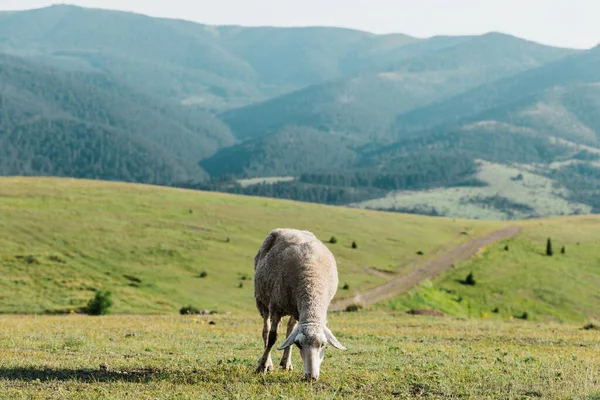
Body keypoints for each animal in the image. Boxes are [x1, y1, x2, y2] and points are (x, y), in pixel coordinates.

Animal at [253, 228, 346, 382]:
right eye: (298, 344)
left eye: (323, 344)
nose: (310, 377)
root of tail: (289, 229)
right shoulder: (276, 307)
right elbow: (273, 337)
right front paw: (263, 366)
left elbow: (289, 335)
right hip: (263, 300)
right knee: (266, 330)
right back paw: (268, 362)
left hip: (294, 310)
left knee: (290, 330)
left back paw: (286, 363)